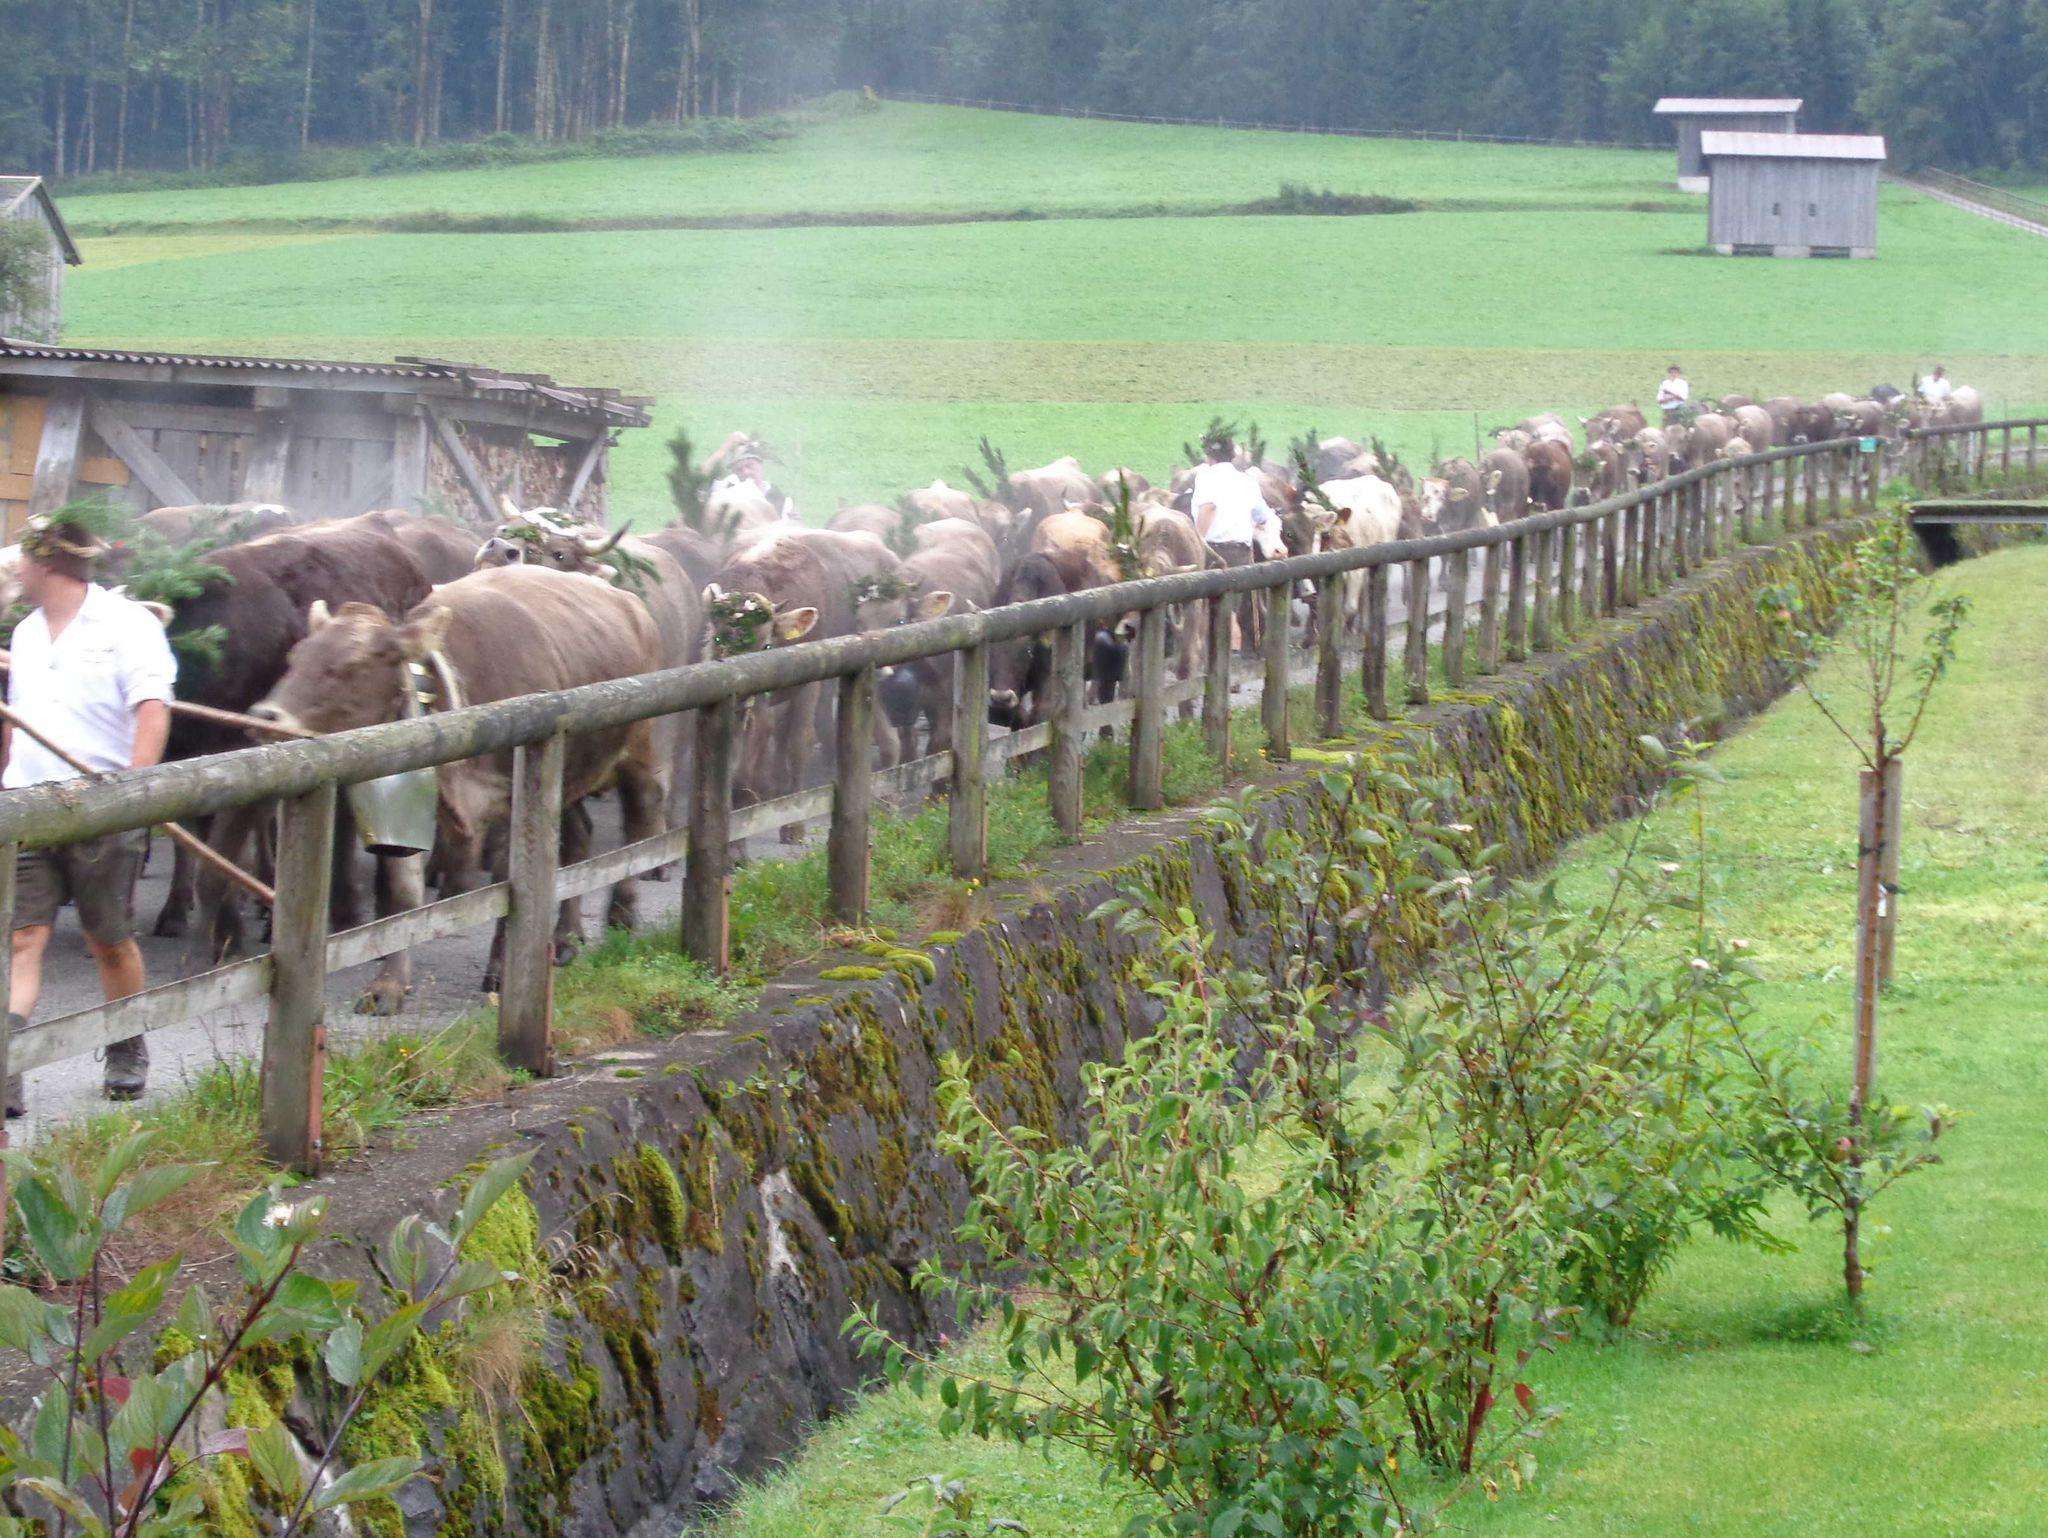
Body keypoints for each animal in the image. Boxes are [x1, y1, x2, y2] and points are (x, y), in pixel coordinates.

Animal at [250, 566, 667, 992]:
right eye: (295, 656)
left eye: (350, 664)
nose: (266, 716)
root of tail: (630, 603)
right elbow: (404, 896)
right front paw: (389, 986)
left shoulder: (511, 800)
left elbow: (508, 883)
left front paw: (500, 968)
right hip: (567, 774)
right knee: (579, 839)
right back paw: (565, 938)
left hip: (637, 750)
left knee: (640, 821)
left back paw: (621, 915)